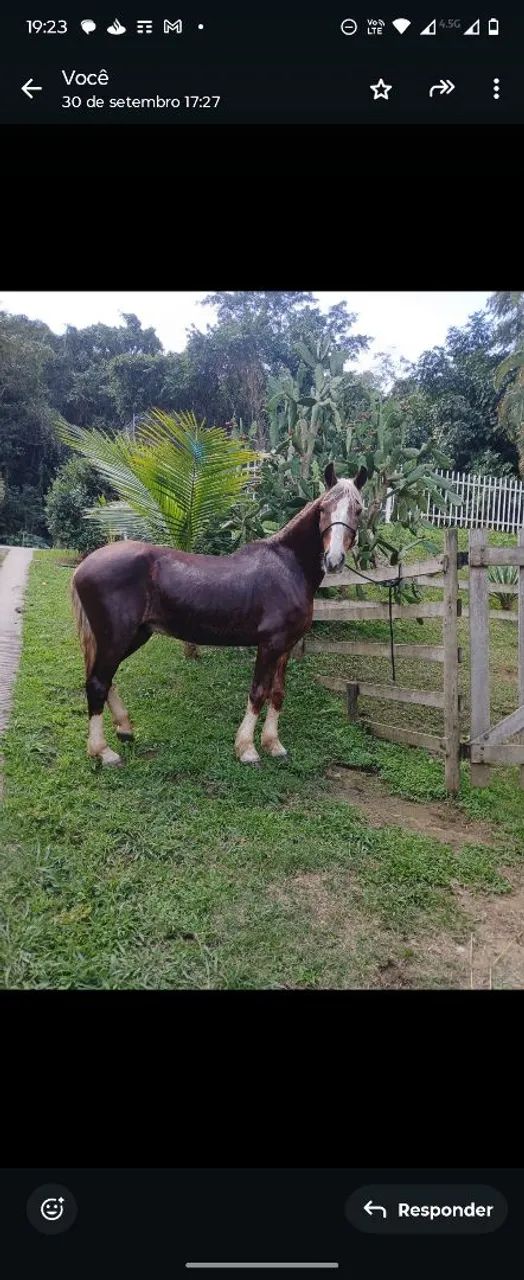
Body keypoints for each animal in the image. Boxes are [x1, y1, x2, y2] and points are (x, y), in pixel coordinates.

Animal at [71, 462, 366, 766]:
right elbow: (258, 693)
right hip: (116, 638)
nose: (334, 560)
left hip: (134, 636)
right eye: (324, 508)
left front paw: (273, 743)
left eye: (358, 509)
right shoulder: (269, 645)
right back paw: (102, 751)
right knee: (97, 683)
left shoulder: (285, 647)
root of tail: (83, 566)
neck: (288, 567)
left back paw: (125, 729)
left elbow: (277, 693)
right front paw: (247, 748)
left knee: (105, 680)